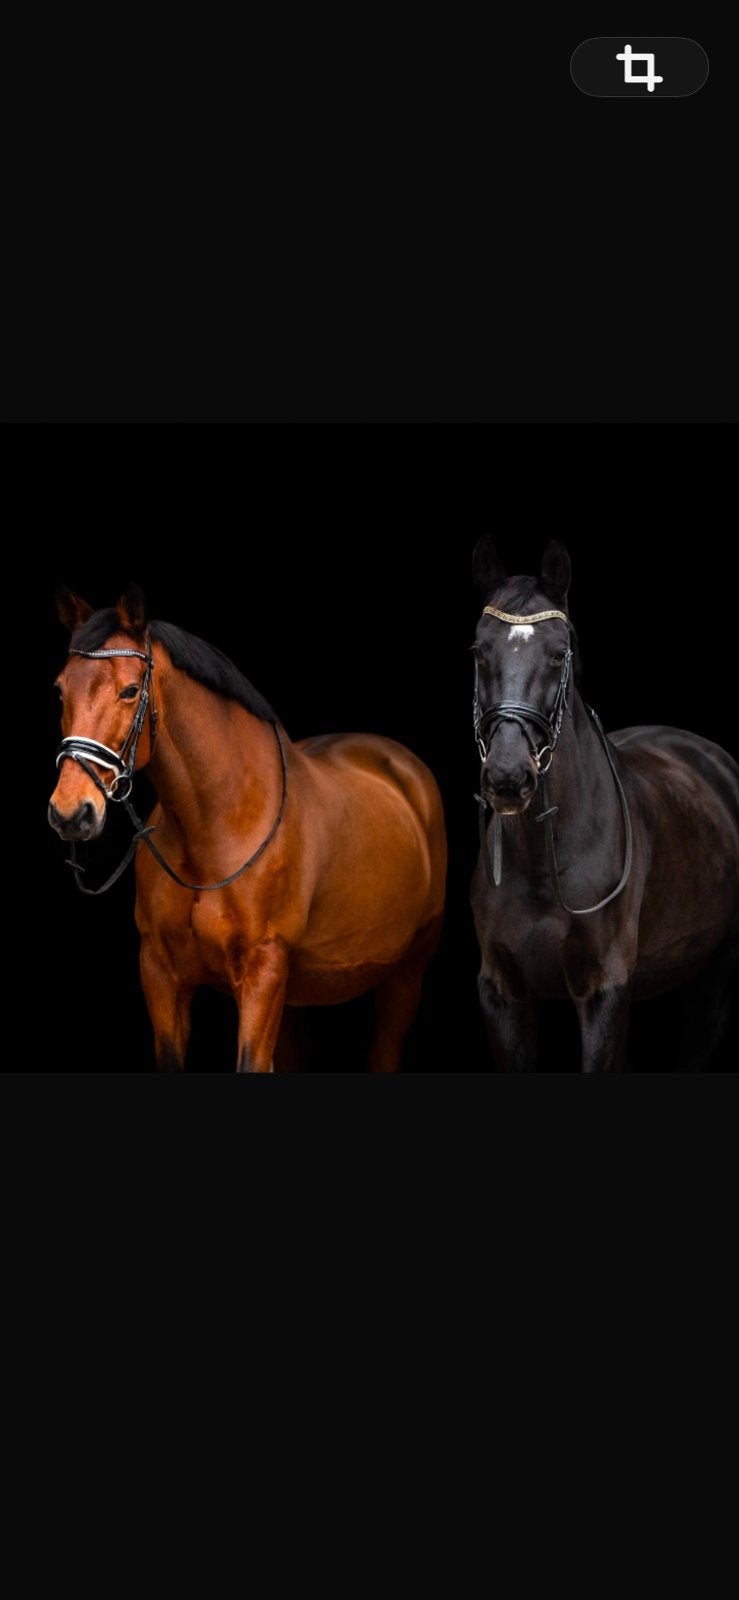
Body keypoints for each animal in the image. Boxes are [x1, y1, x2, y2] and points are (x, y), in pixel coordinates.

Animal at [49, 586, 446, 1072]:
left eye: (129, 690)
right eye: (61, 690)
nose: (71, 812)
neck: (215, 829)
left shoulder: (263, 971)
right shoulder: (160, 972)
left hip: (406, 973)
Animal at [470, 538, 739, 1072]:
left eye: (558, 655)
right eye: (479, 651)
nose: (508, 778)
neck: (544, 861)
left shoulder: (604, 991)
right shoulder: (502, 994)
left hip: (714, 977)